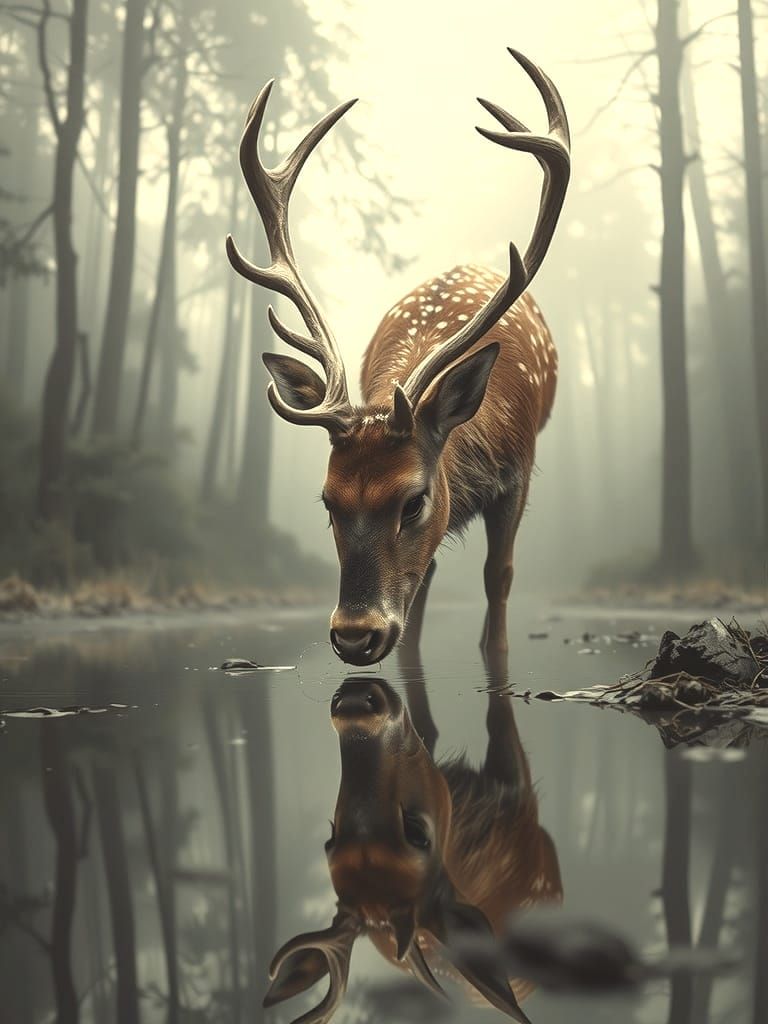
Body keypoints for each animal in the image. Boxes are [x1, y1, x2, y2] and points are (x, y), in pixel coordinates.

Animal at [226, 49, 570, 667]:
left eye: (414, 500)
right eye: (327, 501)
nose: (353, 633)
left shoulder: (519, 472)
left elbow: (499, 577)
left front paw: (495, 654)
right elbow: (421, 589)